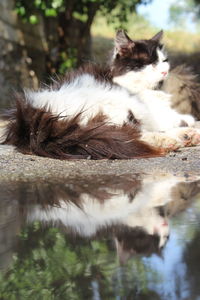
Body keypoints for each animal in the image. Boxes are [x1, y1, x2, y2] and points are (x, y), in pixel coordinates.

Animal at [2, 29, 200, 159]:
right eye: (150, 64)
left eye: (164, 61)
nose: (164, 72)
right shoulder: (153, 110)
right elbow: (176, 118)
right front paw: (189, 125)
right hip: (121, 105)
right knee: (129, 133)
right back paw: (170, 139)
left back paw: (185, 136)